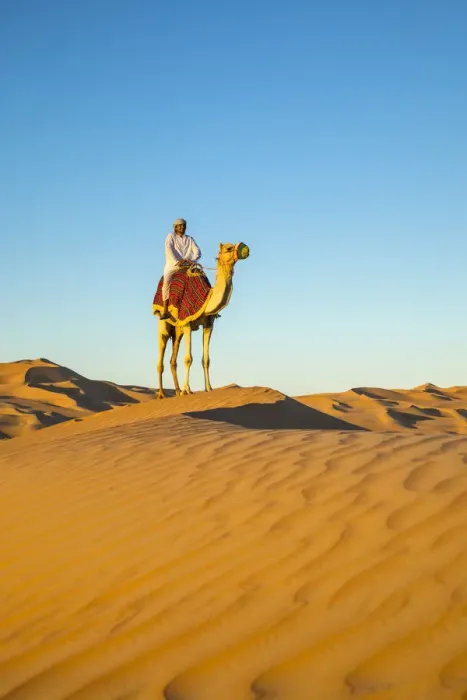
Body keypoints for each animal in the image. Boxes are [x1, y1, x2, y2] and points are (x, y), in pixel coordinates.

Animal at [154, 241, 249, 398]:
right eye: (228, 248)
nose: (245, 248)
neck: (206, 299)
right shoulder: (187, 322)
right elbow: (188, 358)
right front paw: (187, 390)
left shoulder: (208, 324)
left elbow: (206, 359)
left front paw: (208, 388)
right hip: (164, 323)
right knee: (161, 355)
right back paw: (162, 394)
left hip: (178, 330)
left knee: (173, 360)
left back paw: (177, 392)